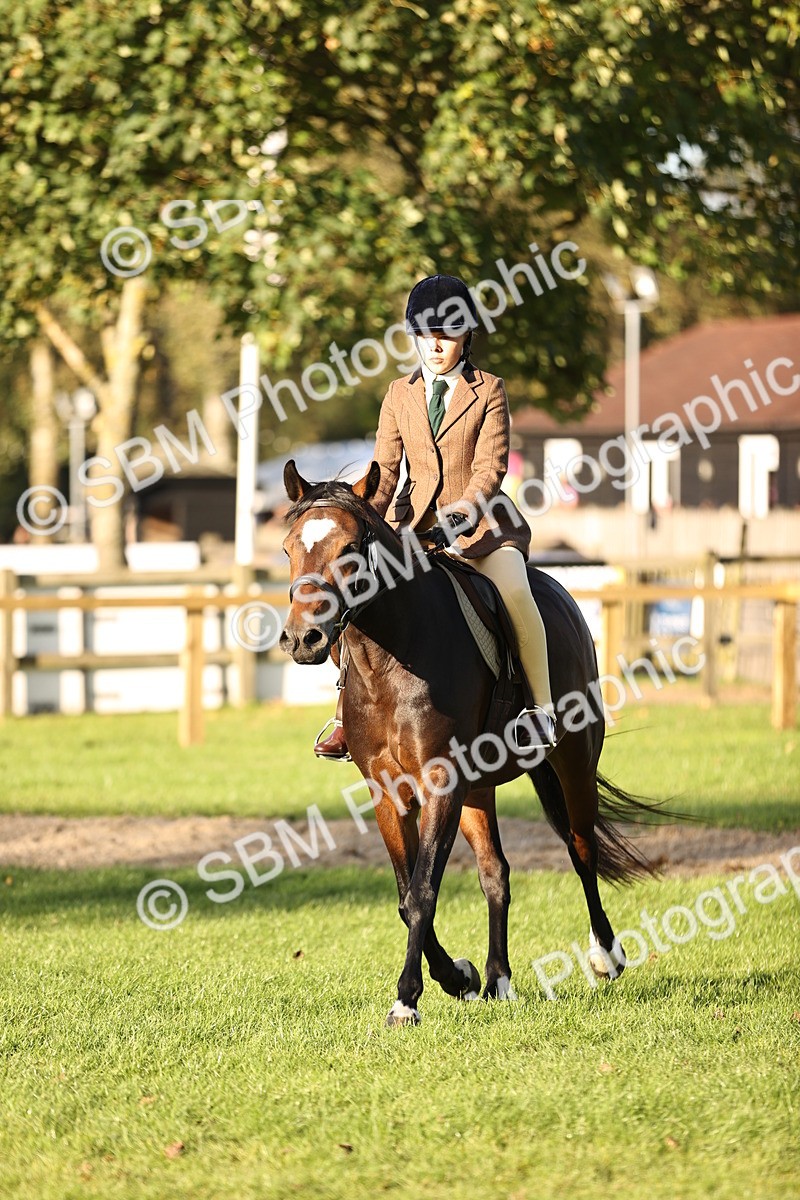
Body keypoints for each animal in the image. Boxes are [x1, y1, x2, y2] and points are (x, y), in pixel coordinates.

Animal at [279, 459, 660, 1026]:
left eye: (348, 548)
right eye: (288, 548)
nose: (303, 639)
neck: (389, 657)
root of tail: (564, 598)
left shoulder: (442, 781)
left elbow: (422, 891)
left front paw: (407, 1000)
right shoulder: (387, 790)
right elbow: (405, 894)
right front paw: (459, 976)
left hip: (573, 762)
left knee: (581, 847)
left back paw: (605, 954)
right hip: (479, 789)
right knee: (495, 873)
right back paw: (499, 979)